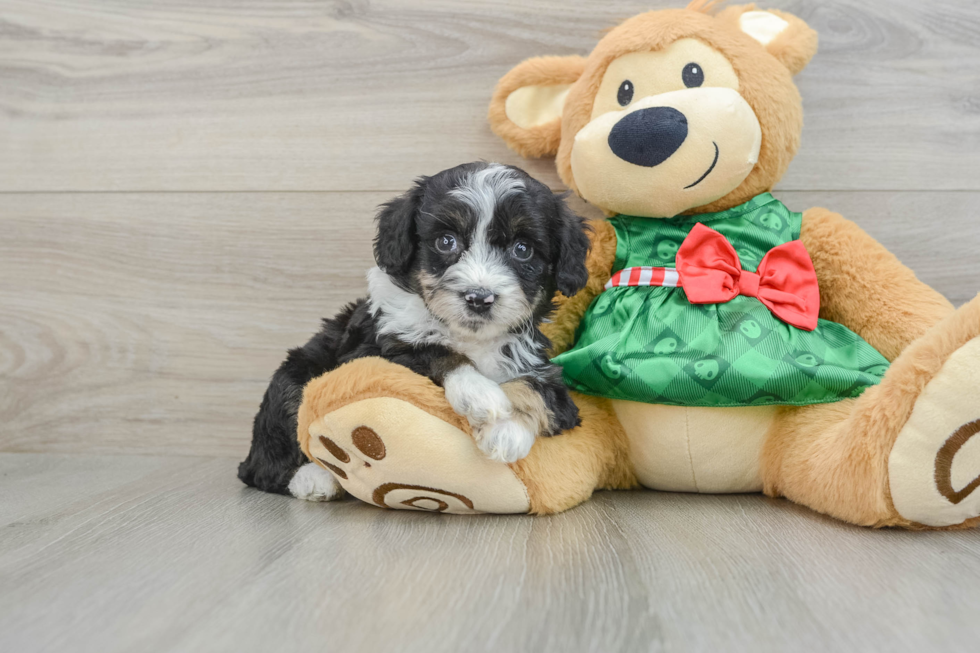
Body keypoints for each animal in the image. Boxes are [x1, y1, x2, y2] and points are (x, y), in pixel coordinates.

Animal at [237, 163, 588, 500]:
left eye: (523, 249)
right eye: (446, 242)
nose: (479, 298)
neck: (471, 338)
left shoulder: (545, 374)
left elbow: (536, 389)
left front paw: (508, 430)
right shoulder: (371, 353)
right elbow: (432, 350)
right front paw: (479, 393)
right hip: (292, 380)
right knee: (265, 466)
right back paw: (315, 478)